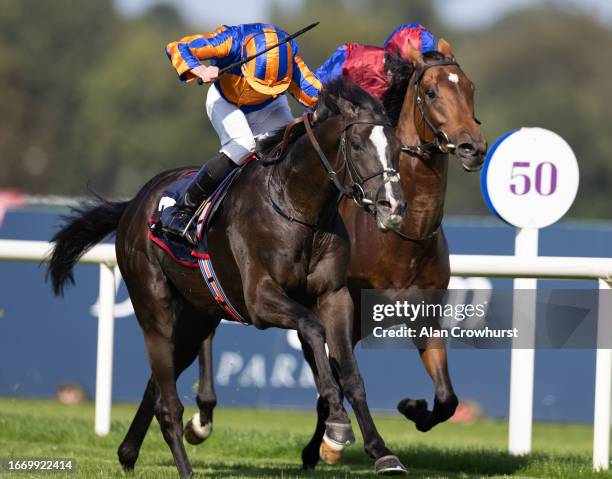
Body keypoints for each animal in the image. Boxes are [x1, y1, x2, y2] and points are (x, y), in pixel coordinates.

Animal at [47, 80, 412, 478]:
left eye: (397, 147)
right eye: (357, 144)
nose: (393, 206)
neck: (298, 208)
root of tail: (133, 204)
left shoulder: (334, 295)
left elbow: (350, 372)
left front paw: (381, 451)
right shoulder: (260, 299)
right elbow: (313, 328)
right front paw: (337, 423)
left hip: (195, 317)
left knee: (157, 384)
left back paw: (128, 452)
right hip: (155, 309)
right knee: (167, 402)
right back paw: (183, 466)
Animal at [189, 39, 486, 470]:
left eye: (470, 87)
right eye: (431, 92)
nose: (472, 147)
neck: (404, 236)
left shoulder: (423, 315)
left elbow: (446, 397)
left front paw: (412, 409)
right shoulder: (338, 307)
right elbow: (334, 374)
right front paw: (328, 443)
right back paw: (201, 416)